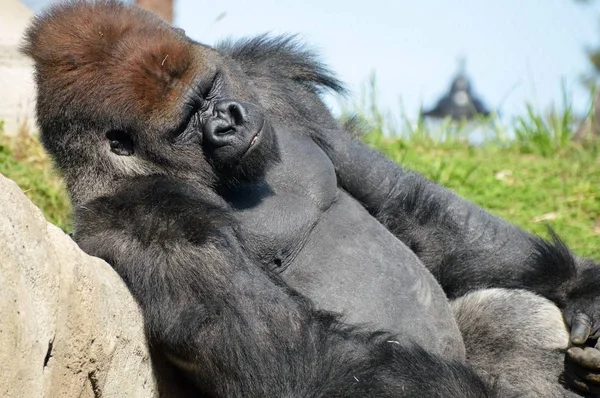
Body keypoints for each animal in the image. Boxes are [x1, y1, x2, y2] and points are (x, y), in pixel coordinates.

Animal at [21, 1, 600, 396]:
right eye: (187, 120)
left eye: (212, 88)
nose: (230, 119)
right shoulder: (153, 219)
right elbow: (299, 355)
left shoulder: (266, 81)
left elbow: (404, 202)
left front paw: (584, 290)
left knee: (510, 317)